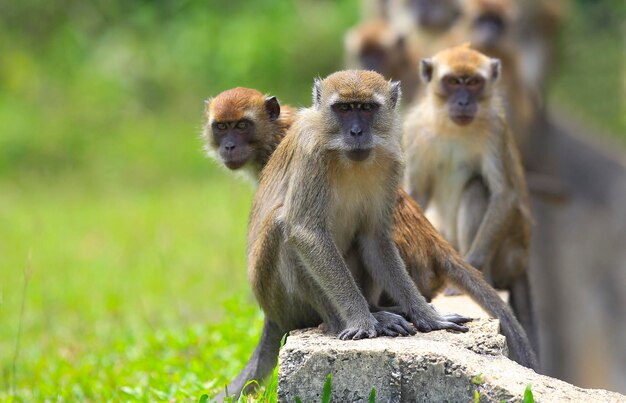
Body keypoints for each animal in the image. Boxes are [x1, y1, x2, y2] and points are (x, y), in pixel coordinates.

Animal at [402, 45, 532, 350]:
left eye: (473, 82)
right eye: (452, 82)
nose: (463, 102)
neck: (453, 127)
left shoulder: (495, 127)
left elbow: (503, 193)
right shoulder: (415, 129)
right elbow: (417, 193)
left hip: (508, 252)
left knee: (476, 188)